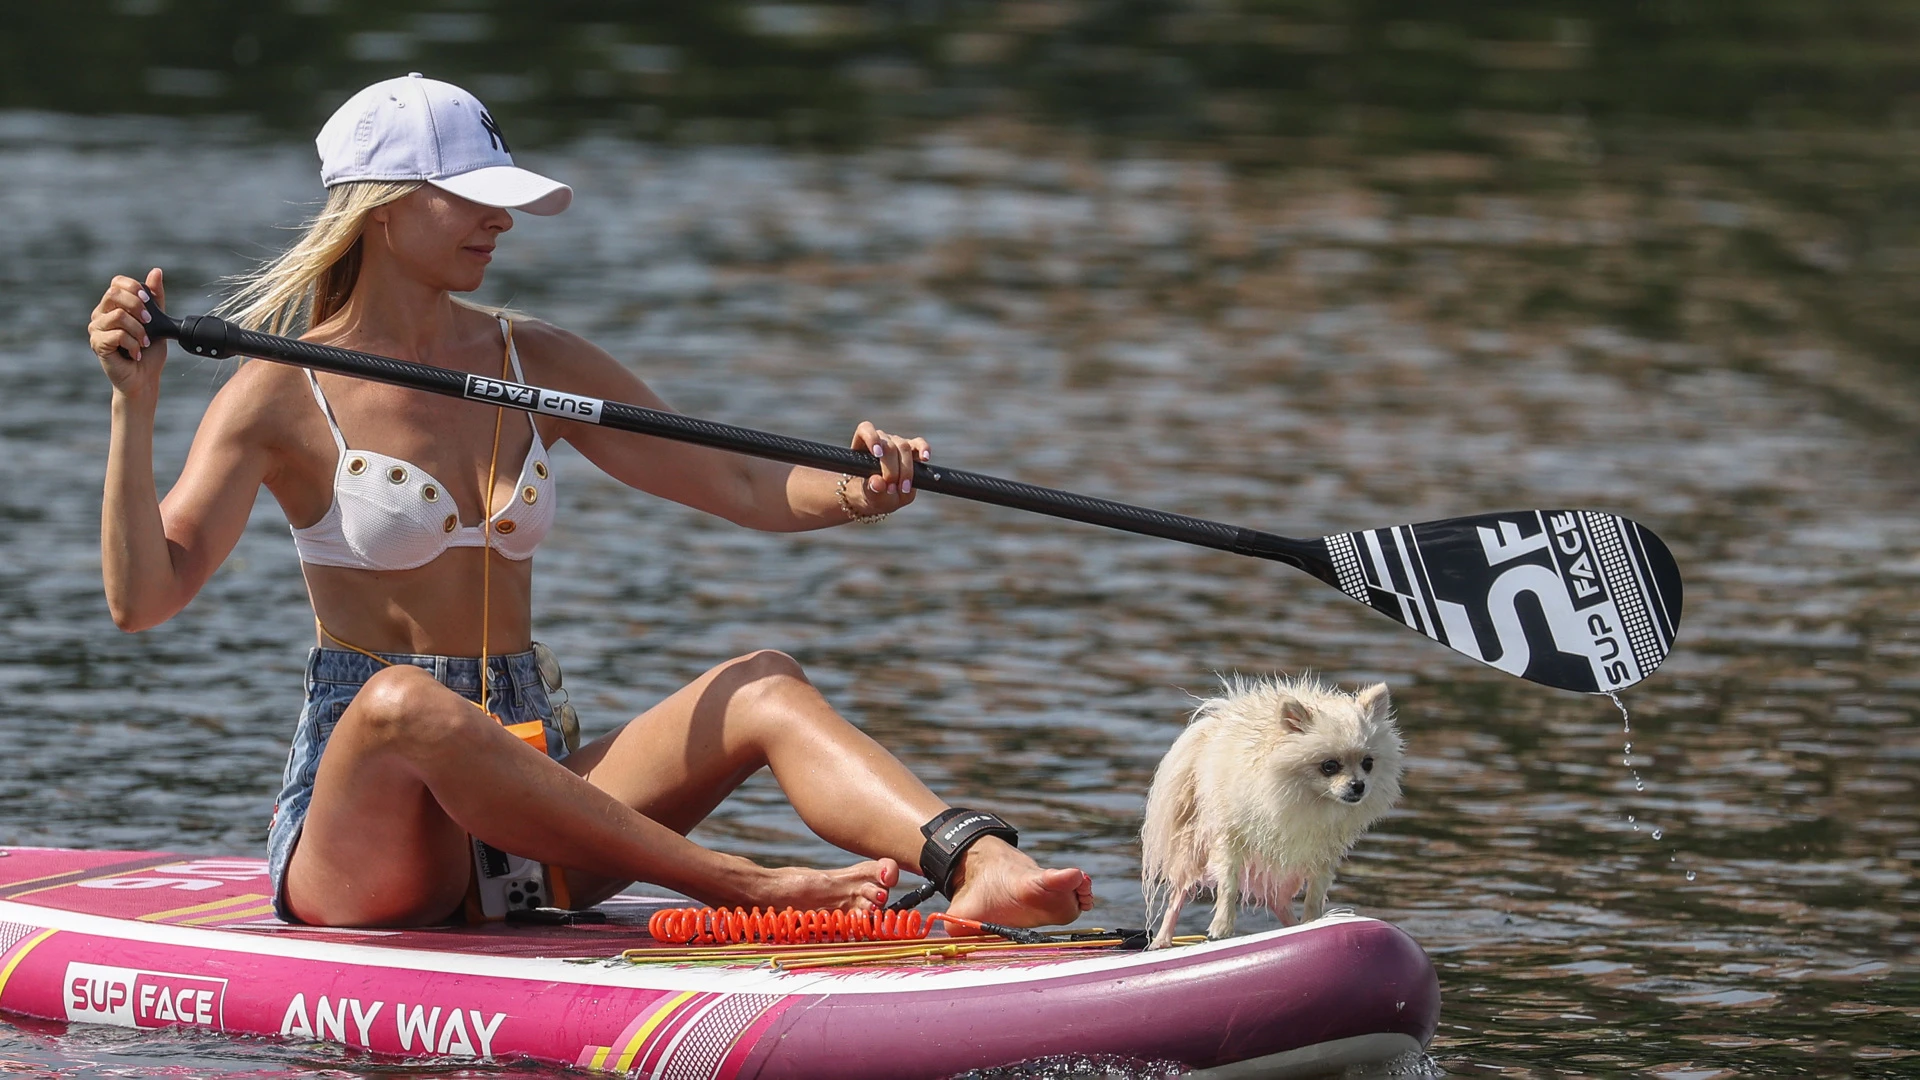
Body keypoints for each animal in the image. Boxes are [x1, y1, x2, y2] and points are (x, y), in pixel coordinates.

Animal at [1128, 672, 1405, 941]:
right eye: (1329, 766)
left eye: (1368, 763)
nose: (1358, 785)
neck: (1307, 799)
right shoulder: (1229, 838)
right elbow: (1228, 884)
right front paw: (1222, 926)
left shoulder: (1322, 851)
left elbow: (1316, 890)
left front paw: (1313, 921)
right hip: (1193, 847)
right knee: (1179, 894)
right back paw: (1162, 940)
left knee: (1277, 900)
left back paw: (1294, 926)